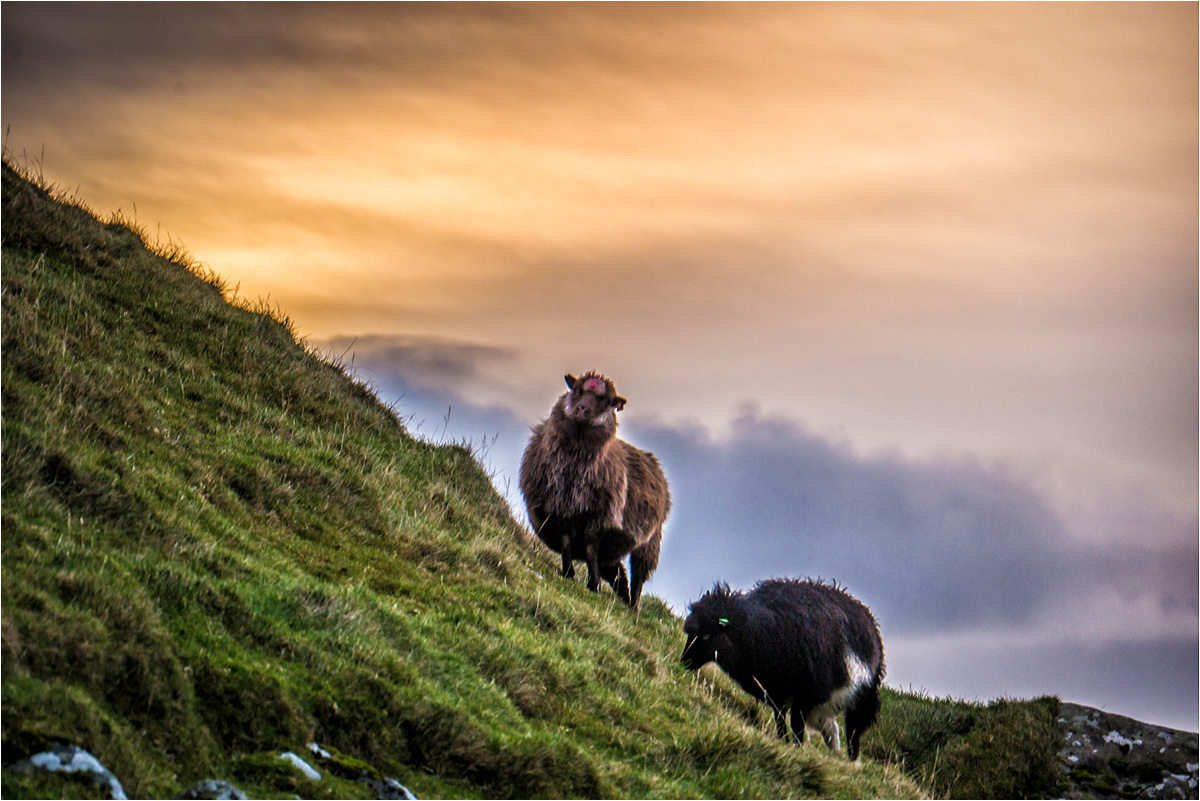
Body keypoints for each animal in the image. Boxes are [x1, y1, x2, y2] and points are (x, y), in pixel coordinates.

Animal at [523, 371, 676, 609]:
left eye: (606, 402)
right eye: (577, 390)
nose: (582, 409)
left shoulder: (599, 518)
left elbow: (590, 550)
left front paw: (592, 585)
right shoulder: (560, 512)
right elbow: (567, 543)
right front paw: (568, 573)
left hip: (651, 540)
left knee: (638, 575)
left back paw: (633, 607)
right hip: (614, 548)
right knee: (618, 574)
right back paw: (624, 598)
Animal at [686, 577, 883, 762]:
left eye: (706, 635)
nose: (684, 662)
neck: (760, 632)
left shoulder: (807, 694)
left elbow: (796, 724)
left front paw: (797, 749)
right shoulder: (774, 691)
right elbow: (780, 719)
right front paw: (783, 742)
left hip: (861, 698)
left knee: (852, 734)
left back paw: (852, 763)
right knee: (831, 729)